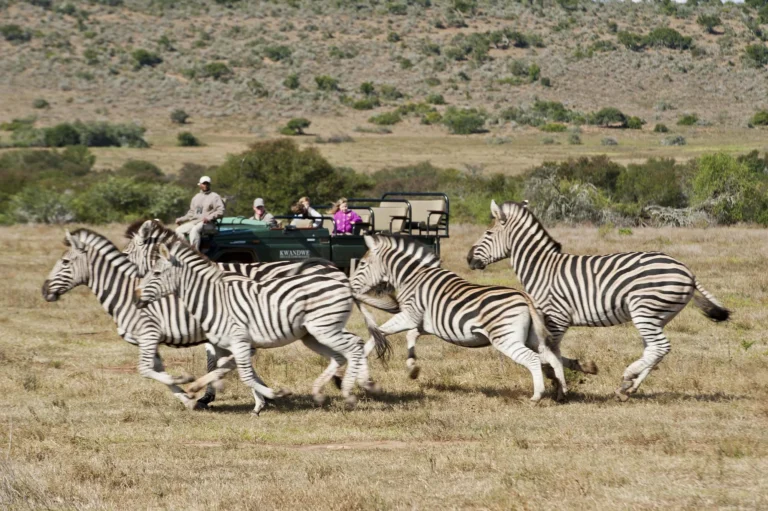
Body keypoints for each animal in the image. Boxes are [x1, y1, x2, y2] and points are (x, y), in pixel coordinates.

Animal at [135, 238, 390, 414]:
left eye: (155, 273)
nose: (136, 298)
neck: (212, 299)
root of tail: (344, 282)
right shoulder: (236, 345)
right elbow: (221, 368)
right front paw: (195, 388)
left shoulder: (240, 341)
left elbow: (244, 375)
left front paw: (272, 396)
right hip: (313, 334)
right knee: (340, 355)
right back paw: (320, 392)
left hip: (325, 328)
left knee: (354, 346)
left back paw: (349, 392)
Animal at [349, 234, 567, 402]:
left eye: (362, 264)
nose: (350, 286)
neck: (411, 278)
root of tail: (524, 297)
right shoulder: (423, 323)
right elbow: (410, 336)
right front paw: (412, 369)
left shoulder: (409, 316)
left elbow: (378, 332)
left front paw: (362, 371)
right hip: (532, 338)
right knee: (552, 357)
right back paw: (562, 392)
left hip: (506, 339)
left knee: (533, 359)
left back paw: (537, 396)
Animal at [467, 200, 730, 401]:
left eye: (488, 233)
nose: (468, 259)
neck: (542, 268)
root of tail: (688, 271)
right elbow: (552, 354)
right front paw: (577, 372)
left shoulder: (556, 316)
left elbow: (550, 353)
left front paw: (558, 386)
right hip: (658, 315)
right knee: (653, 350)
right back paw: (628, 388)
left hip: (644, 309)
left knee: (660, 347)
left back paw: (628, 376)